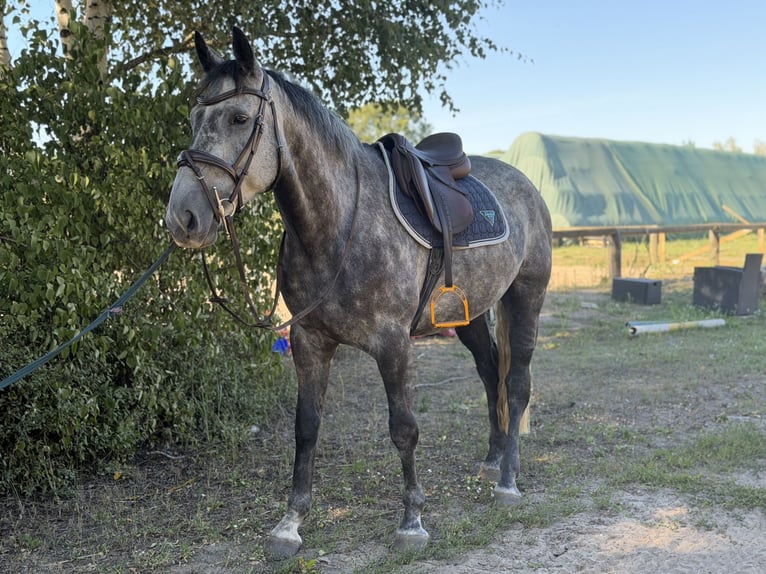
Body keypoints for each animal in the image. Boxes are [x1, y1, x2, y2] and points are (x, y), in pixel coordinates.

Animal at [164, 27, 552, 557]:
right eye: (193, 118)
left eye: (240, 117)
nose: (182, 217)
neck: (338, 224)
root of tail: (525, 184)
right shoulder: (308, 340)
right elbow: (306, 427)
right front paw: (290, 523)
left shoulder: (393, 345)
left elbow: (404, 429)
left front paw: (412, 521)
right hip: (469, 314)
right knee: (491, 372)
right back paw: (492, 461)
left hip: (525, 297)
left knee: (516, 384)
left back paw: (508, 481)